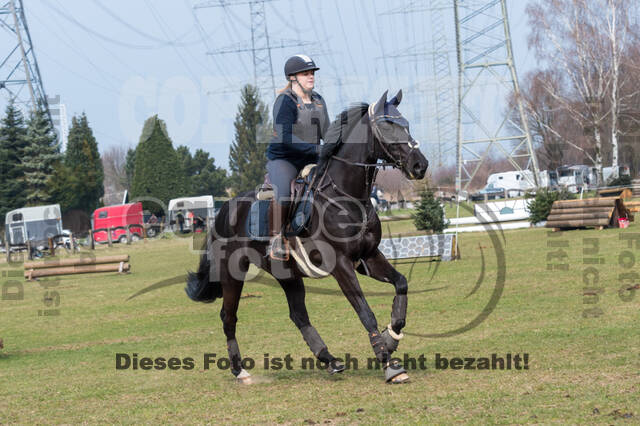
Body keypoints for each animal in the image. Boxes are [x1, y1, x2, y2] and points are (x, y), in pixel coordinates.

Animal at [189, 90, 430, 382]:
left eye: (406, 124)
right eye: (387, 126)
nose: (420, 165)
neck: (346, 195)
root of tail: (224, 210)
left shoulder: (369, 257)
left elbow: (401, 284)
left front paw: (391, 337)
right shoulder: (341, 265)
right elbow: (365, 312)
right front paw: (390, 364)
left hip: (287, 275)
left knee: (298, 315)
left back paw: (330, 360)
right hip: (232, 273)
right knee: (228, 316)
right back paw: (240, 370)